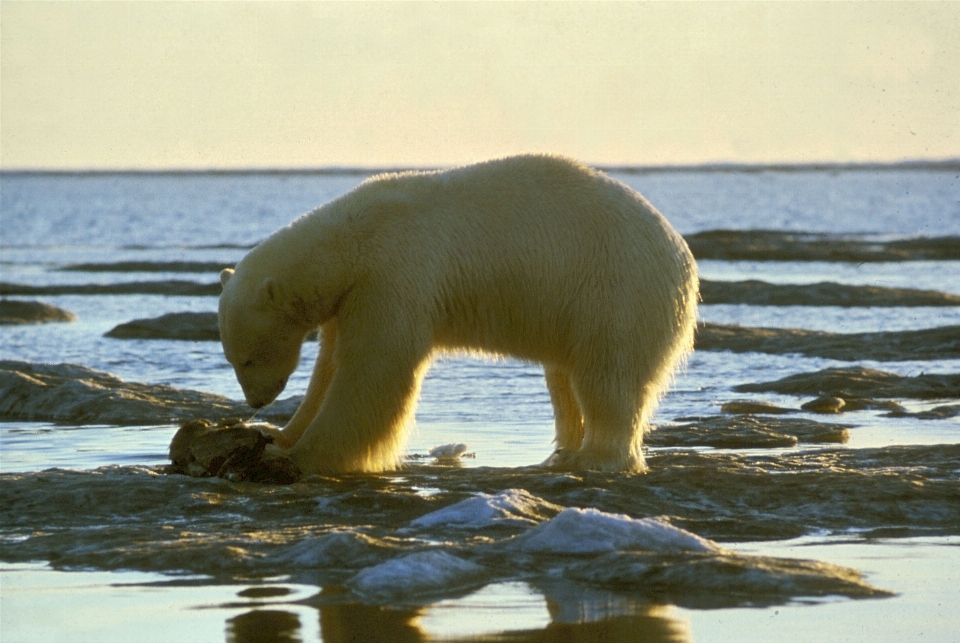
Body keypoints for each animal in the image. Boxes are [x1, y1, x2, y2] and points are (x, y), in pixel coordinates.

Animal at [218, 155, 696, 476]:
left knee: (606, 375)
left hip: (615, 289)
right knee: (566, 379)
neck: (351, 242)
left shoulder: (393, 272)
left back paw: (596, 458)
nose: (255, 402)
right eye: (232, 358)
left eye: (246, 358)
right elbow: (328, 369)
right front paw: (279, 434)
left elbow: (374, 369)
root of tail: (682, 258)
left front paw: (299, 454)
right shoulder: (350, 298)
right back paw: (561, 453)